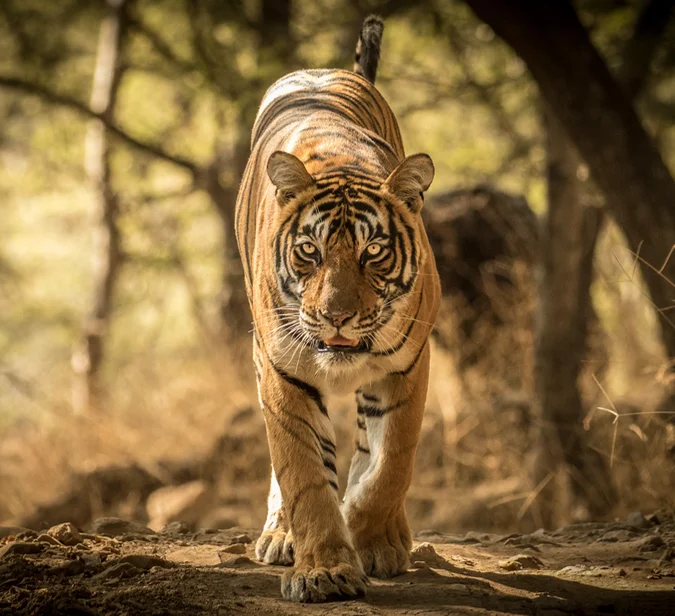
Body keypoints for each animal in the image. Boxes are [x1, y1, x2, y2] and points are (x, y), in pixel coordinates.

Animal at [234, 15, 441, 603]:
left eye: (373, 253)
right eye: (311, 251)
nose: (337, 317)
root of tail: (324, 70)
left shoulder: (409, 365)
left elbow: (391, 463)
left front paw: (373, 540)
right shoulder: (283, 370)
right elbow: (304, 474)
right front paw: (324, 569)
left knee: (371, 451)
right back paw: (281, 536)